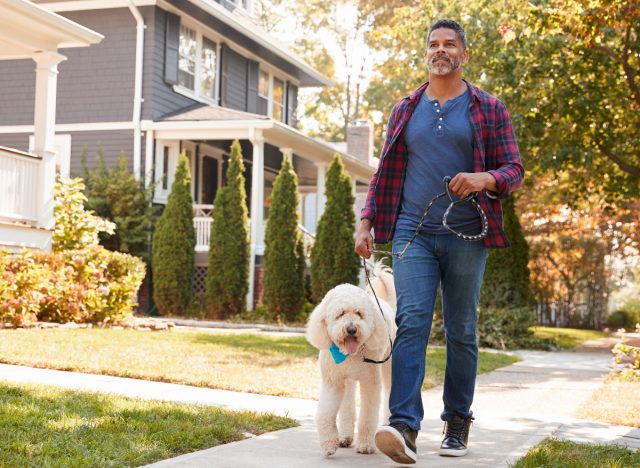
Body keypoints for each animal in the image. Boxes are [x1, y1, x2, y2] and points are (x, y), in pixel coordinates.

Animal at [304, 264, 396, 458]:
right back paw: (345, 437)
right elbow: (326, 413)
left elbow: (367, 416)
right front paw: (329, 444)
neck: (349, 354)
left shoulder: (370, 382)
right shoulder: (333, 382)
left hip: (388, 367)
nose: (352, 329)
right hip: (348, 381)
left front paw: (366, 445)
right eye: (340, 314)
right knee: (347, 406)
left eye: (359, 314)